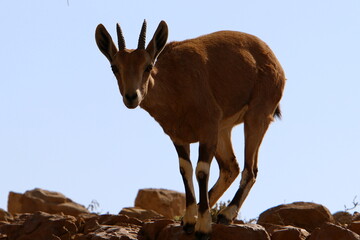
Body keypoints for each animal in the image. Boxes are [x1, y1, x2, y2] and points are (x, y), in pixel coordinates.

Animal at [95, 19, 284, 239]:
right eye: (115, 67)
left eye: (148, 66)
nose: (132, 97)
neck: (176, 86)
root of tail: (273, 59)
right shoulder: (179, 137)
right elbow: (185, 169)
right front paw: (188, 220)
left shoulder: (207, 130)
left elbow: (201, 171)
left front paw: (202, 227)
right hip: (224, 130)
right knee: (231, 167)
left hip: (257, 117)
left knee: (250, 169)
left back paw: (226, 214)